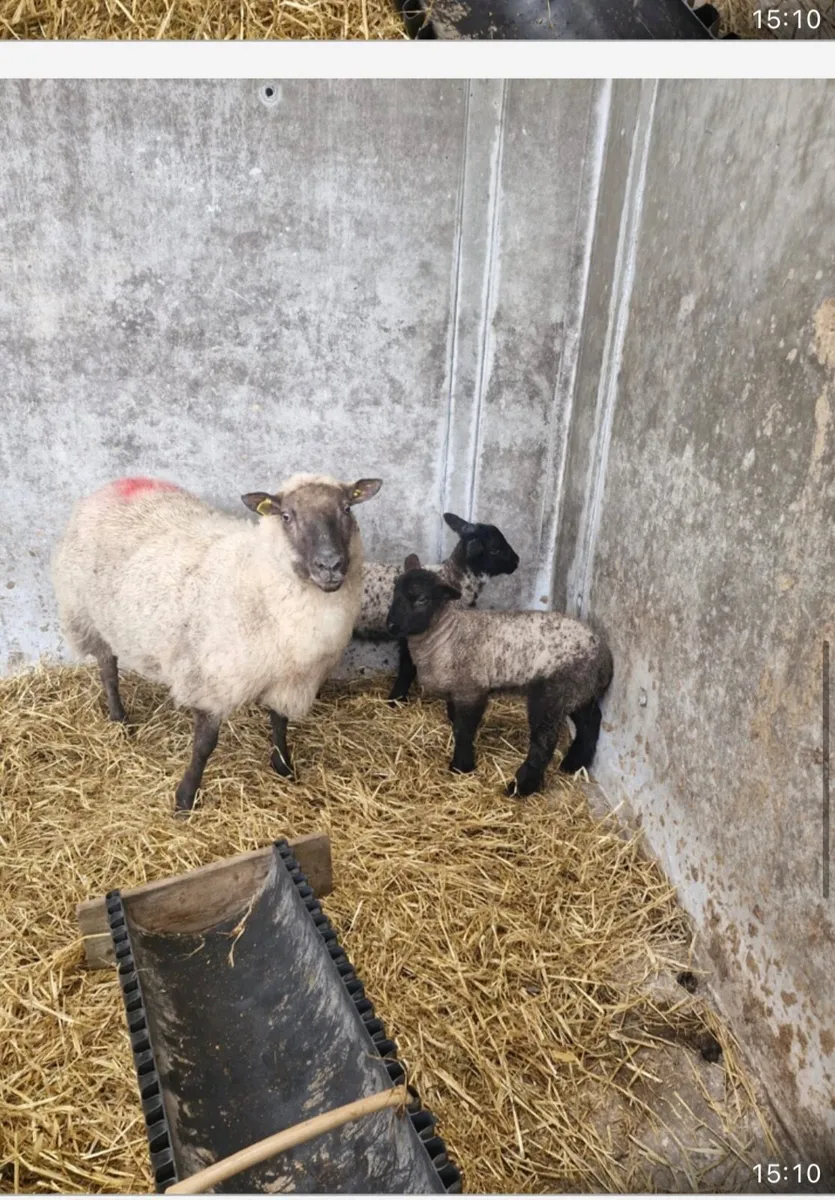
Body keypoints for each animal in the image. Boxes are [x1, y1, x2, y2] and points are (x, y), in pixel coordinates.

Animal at [52, 473, 382, 813]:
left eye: (347, 508)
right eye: (286, 516)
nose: (330, 565)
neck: (258, 577)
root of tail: (117, 484)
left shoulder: (287, 681)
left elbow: (280, 723)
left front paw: (284, 767)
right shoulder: (212, 681)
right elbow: (204, 746)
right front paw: (185, 799)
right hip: (87, 616)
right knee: (108, 669)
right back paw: (119, 719)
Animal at [385, 554, 613, 797]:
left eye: (422, 599)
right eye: (395, 592)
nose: (391, 626)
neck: (446, 635)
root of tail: (604, 656)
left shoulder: (472, 690)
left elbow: (463, 730)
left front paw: (461, 766)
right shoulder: (456, 690)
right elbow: (455, 720)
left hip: (553, 692)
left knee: (545, 740)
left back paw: (522, 787)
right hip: (579, 690)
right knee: (591, 721)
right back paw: (574, 763)